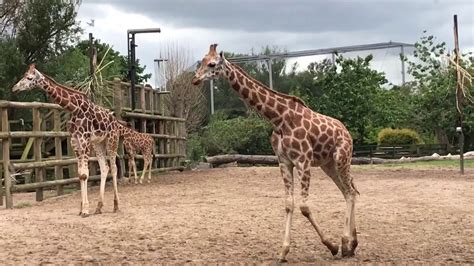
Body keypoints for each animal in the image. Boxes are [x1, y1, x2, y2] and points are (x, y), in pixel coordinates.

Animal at [12, 64, 121, 216]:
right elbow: (81, 174)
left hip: (112, 140)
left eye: (29, 77)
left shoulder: (84, 140)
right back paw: (99, 207)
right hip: (98, 143)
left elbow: (85, 174)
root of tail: (115, 120)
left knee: (114, 168)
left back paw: (116, 205)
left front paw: (85, 209)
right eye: (24, 75)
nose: (14, 88)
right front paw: (82, 208)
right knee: (105, 167)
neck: (74, 108)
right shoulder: (75, 141)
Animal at [193, 44, 360, 260]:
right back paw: (351, 245)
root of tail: (346, 132)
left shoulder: (303, 160)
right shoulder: (284, 161)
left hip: (342, 157)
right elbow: (289, 204)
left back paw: (346, 243)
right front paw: (283, 251)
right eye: (202, 61)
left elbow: (304, 206)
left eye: (212, 64)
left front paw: (331, 246)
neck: (279, 119)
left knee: (350, 191)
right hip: (328, 164)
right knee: (348, 192)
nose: (195, 79)